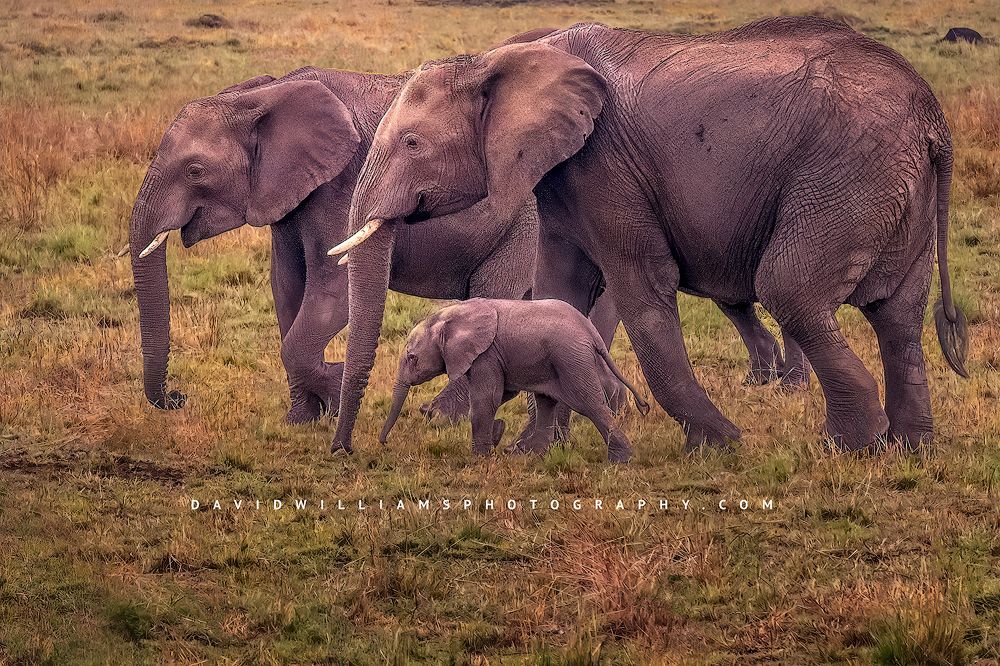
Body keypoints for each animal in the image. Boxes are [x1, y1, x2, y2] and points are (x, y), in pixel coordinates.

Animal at [379, 298, 650, 462]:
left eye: (412, 358)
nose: (384, 444)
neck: (450, 315)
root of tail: (590, 332)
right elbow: (501, 394)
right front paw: (496, 435)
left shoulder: (486, 354)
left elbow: (486, 398)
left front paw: (479, 458)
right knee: (546, 402)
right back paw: (529, 454)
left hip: (571, 358)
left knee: (589, 404)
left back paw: (621, 460)